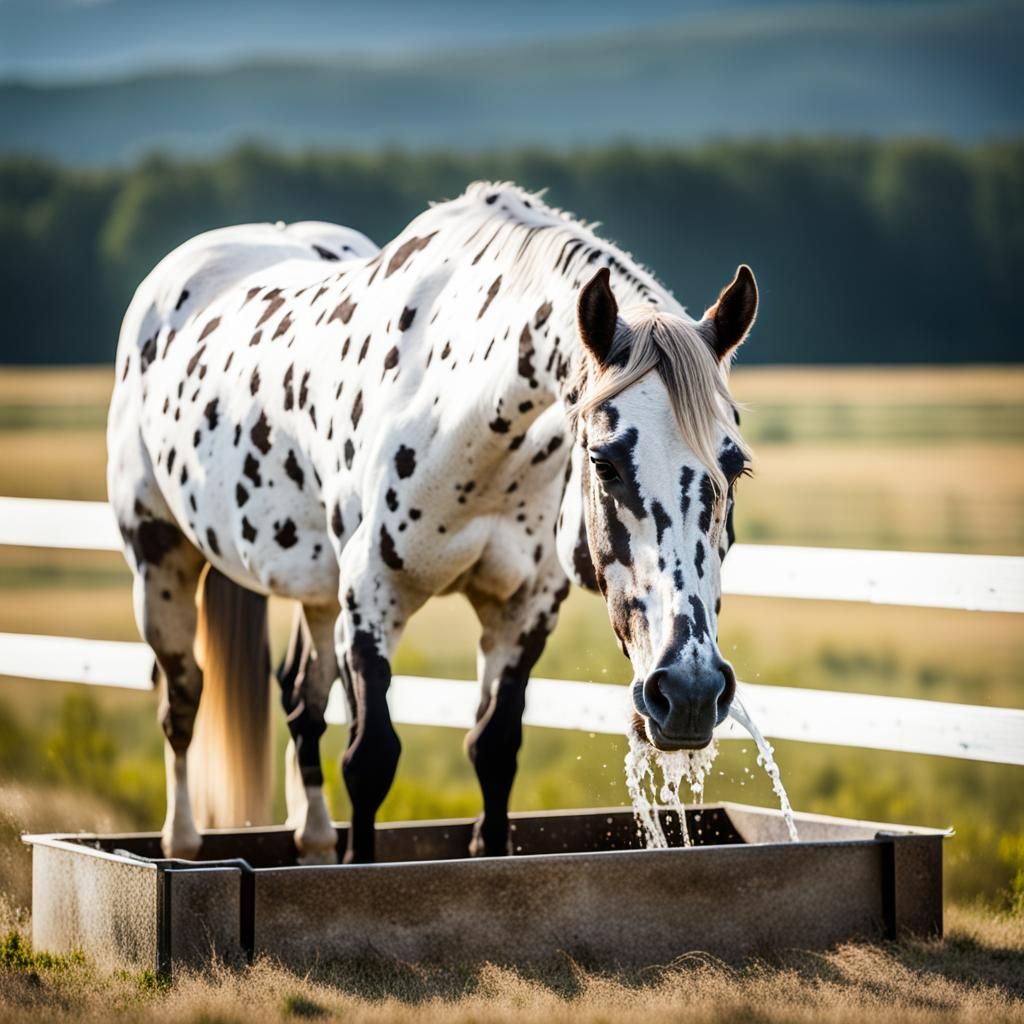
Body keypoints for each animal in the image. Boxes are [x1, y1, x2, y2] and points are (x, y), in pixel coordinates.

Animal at [107, 182, 756, 865]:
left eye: (734, 466)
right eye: (603, 463)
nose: (689, 694)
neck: (461, 412)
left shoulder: (520, 613)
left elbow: (494, 750)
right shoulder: (372, 601)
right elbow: (369, 759)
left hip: (316, 592)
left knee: (300, 698)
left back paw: (313, 836)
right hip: (162, 566)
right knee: (182, 697)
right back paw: (181, 843)